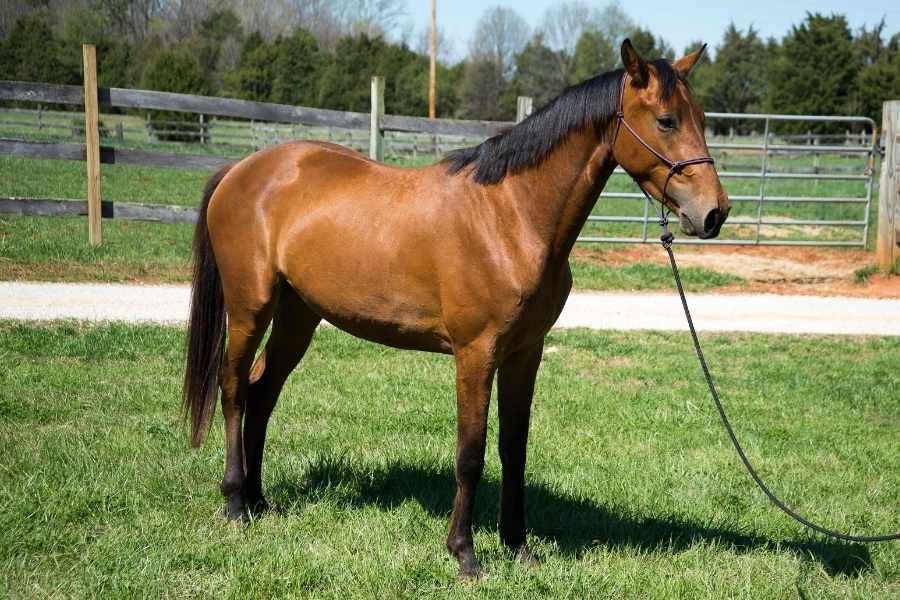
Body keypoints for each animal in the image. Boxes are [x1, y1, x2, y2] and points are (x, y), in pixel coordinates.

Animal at [182, 39, 730, 578]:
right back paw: (235, 504)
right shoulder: (475, 354)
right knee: (234, 389)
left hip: (299, 316)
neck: (509, 216)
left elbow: (514, 447)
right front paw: (465, 553)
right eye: (666, 120)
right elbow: (471, 452)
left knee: (263, 393)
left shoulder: (524, 353)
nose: (715, 212)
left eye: (702, 118)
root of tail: (241, 170)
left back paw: (260, 501)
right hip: (250, 308)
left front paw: (518, 546)